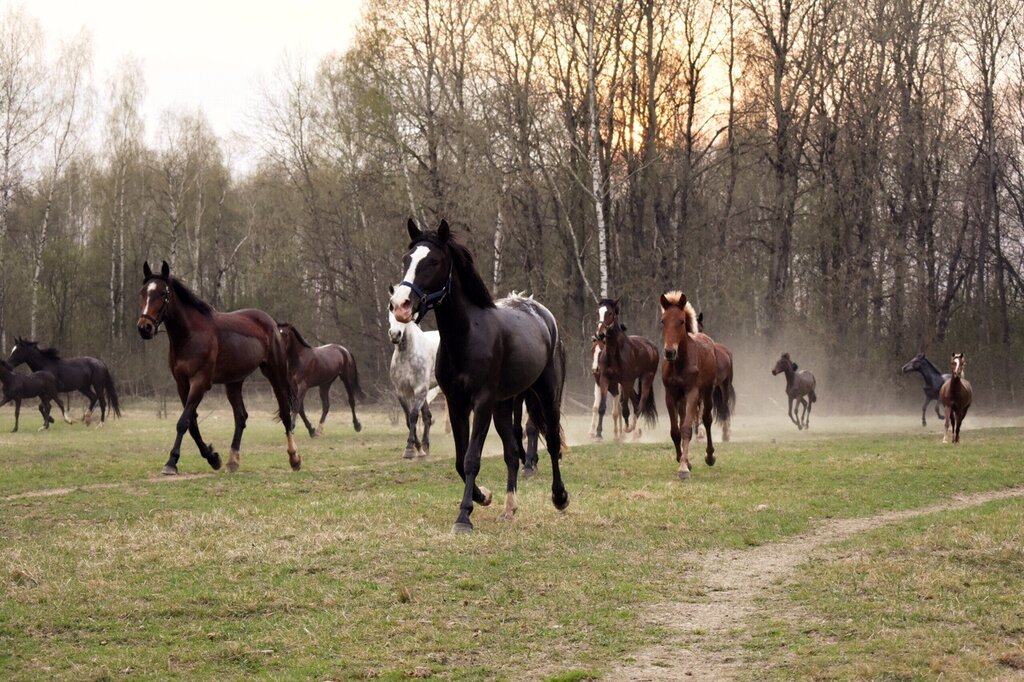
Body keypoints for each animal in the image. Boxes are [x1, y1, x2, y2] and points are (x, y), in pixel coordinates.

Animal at [136, 259, 299, 473]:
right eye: (143, 292)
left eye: (163, 294)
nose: (144, 328)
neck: (190, 335)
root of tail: (272, 323)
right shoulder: (182, 384)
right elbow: (192, 424)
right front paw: (213, 457)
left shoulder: (200, 382)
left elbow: (183, 422)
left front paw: (171, 462)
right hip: (234, 382)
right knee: (241, 417)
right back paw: (232, 461)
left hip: (275, 373)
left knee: (285, 413)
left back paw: (294, 458)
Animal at [389, 307, 442, 456]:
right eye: (390, 309)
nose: (394, 334)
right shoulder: (401, 392)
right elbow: (409, 418)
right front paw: (419, 448)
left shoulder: (419, 390)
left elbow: (413, 416)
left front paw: (409, 448)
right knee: (427, 416)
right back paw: (426, 445)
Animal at [598, 296, 659, 436]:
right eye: (598, 312)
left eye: (610, 313)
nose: (600, 334)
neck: (614, 353)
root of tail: (652, 347)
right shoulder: (605, 379)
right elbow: (602, 407)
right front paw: (598, 434)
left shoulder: (625, 381)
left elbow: (625, 408)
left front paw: (626, 429)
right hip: (630, 382)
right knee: (636, 401)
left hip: (646, 378)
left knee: (640, 403)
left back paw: (632, 428)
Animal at [655, 290, 729, 477]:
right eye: (663, 320)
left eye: (681, 321)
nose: (670, 352)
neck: (679, 364)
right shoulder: (670, 395)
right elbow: (675, 431)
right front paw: (684, 461)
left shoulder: (693, 393)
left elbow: (687, 428)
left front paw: (683, 468)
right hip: (682, 399)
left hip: (707, 392)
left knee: (707, 419)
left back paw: (710, 456)